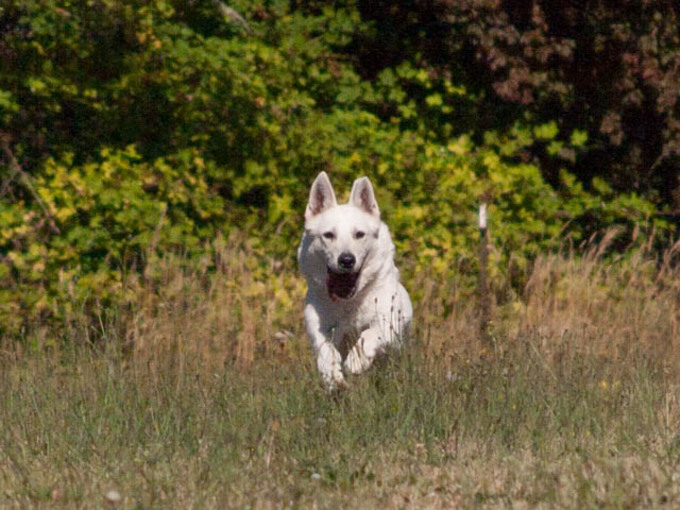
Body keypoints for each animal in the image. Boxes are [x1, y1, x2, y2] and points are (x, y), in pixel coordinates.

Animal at [298, 171, 414, 390]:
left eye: (359, 234)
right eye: (328, 235)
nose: (346, 260)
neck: (349, 301)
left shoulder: (390, 319)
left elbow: (369, 334)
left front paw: (356, 360)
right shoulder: (317, 324)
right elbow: (325, 349)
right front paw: (332, 376)